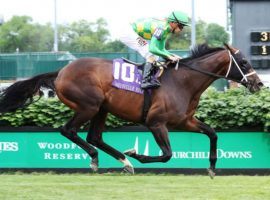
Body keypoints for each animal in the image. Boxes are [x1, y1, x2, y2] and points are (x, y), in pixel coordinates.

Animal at [0, 43, 262, 177]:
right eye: (244, 63)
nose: (259, 83)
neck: (183, 82)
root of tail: (61, 71)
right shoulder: (156, 123)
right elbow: (167, 154)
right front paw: (138, 154)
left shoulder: (184, 121)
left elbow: (213, 133)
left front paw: (212, 168)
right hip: (89, 105)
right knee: (69, 131)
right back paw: (99, 159)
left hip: (101, 108)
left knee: (94, 136)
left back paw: (124, 161)